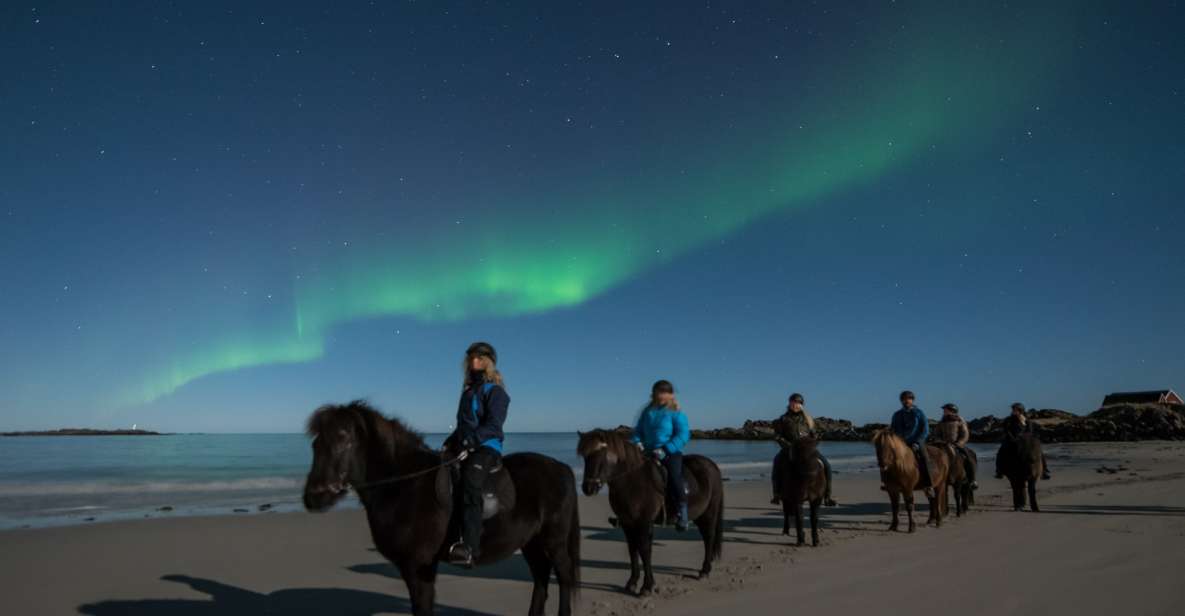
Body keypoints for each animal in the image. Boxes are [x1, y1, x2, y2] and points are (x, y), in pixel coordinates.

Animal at [300, 400, 578, 616]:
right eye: (315, 445)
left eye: (343, 440)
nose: (313, 497)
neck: (404, 484)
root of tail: (561, 468)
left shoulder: (419, 567)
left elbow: (422, 608)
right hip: (531, 540)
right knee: (541, 576)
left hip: (554, 539)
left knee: (563, 575)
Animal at [573, 428, 720, 597]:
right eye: (585, 457)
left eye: (601, 454)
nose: (587, 488)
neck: (632, 482)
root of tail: (711, 465)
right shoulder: (628, 524)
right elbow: (633, 550)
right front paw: (632, 583)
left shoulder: (643, 523)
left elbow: (644, 550)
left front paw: (647, 586)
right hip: (700, 515)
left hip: (709, 513)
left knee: (709, 537)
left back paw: (705, 570)